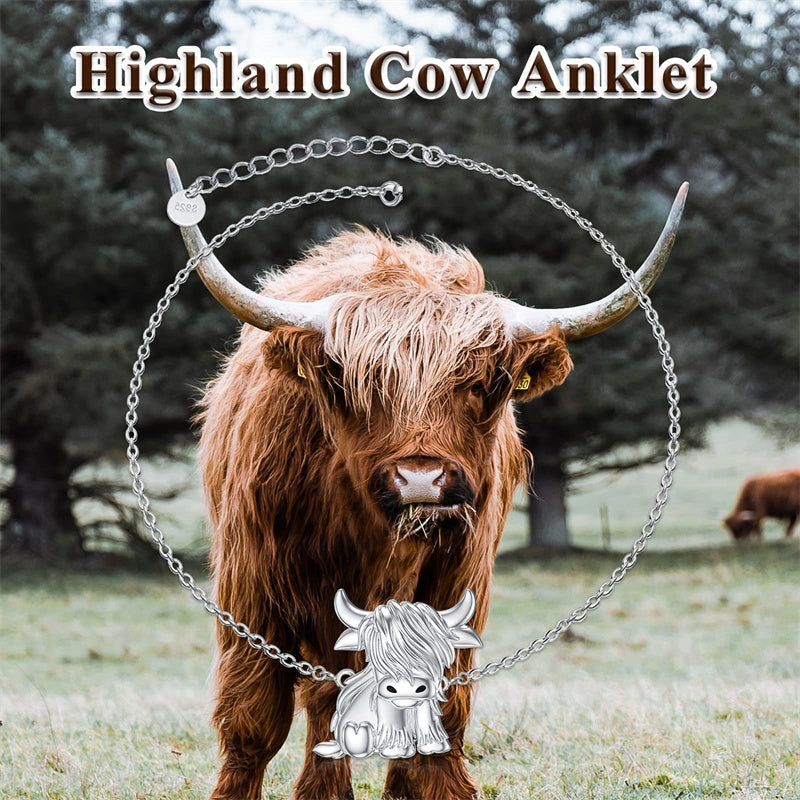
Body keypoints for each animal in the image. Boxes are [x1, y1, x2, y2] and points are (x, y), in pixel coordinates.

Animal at [166, 160, 687, 800]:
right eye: (351, 383)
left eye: (484, 383)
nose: (421, 480)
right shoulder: (252, 585)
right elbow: (254, 719)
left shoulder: (460, 577)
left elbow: (441, 702)